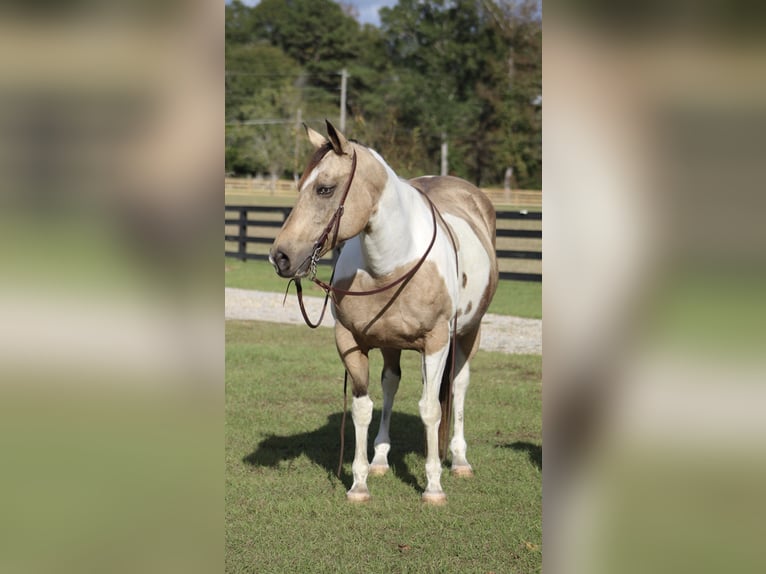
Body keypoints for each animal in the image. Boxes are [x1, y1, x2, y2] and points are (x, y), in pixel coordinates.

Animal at [268, 120, 498, 504]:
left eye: (325, 189)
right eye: (300, 186)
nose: (281, 257)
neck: (391, 264)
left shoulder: (437, 342)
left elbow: (430, 409)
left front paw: (433, 487)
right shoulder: (350, 341)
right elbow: (363, 408)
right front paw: (359, 483)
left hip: (468, 333)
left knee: (458, 385)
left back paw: (460, 461)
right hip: (392, 344)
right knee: (391, 384)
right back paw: (380, 459)